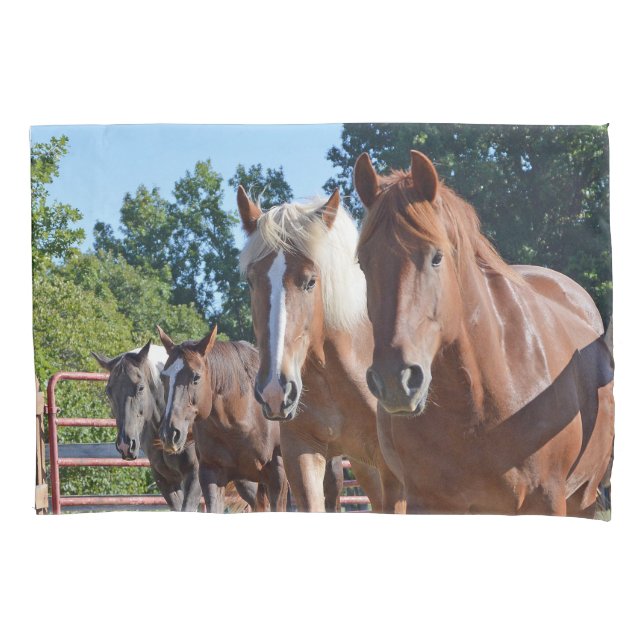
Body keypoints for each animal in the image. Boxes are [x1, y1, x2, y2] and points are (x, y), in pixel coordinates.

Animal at [353, 149, 614, 517]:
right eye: (364, 263)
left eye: (436, 257)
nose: (395, 381)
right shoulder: (429, 503)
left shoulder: (549, 500)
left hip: (585, 499)